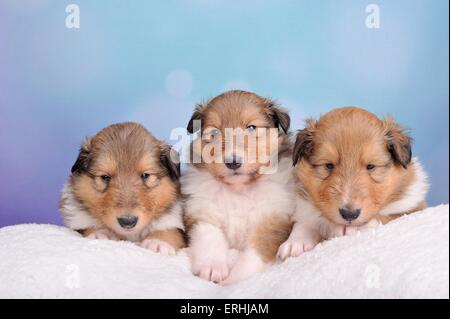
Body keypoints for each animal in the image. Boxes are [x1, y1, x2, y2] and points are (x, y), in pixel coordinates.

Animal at [60, 122, 185, 258]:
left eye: (146, 175)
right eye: (105, 177)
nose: (128, 221)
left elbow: (171, 229)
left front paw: (158, 243)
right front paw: (101, 233)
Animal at [181, 90, 298, 284]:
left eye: (251, 128)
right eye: (214, 132)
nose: (233, 162)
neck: (239, 189)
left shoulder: (270, 222)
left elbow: (252, 256)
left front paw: (233, 280)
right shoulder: (203, 214)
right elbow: (209, 239)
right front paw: (212, 269)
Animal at [278, 107, 428, 260]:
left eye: (370, 166)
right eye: (328, 165)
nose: (349, 214)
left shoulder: (412, 208)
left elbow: (386, 217)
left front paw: (353, 228)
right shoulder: (304, 208)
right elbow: (305, 223)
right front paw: (295, 243)